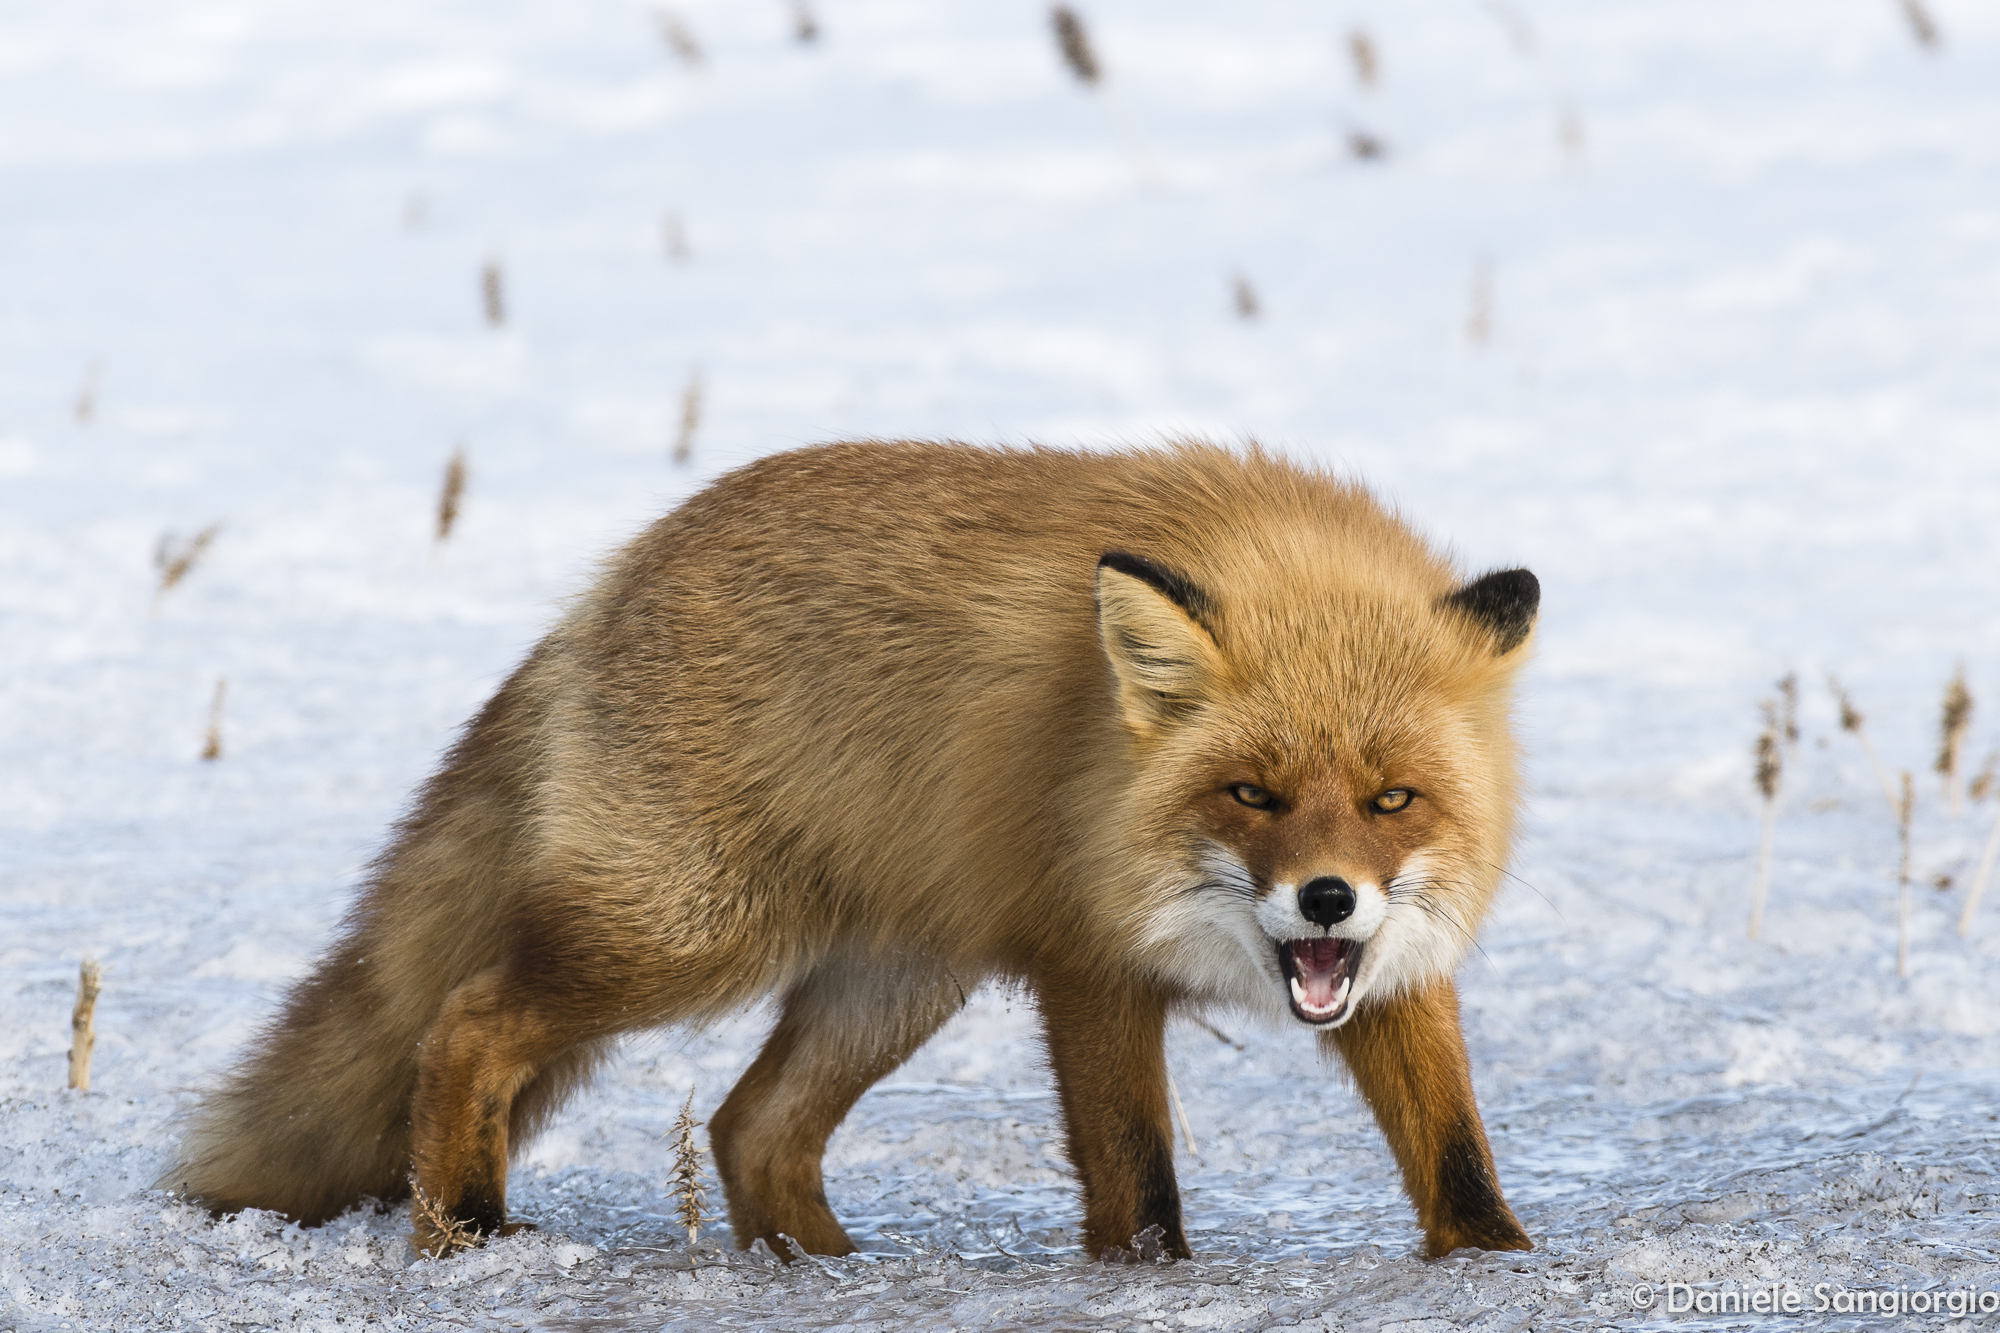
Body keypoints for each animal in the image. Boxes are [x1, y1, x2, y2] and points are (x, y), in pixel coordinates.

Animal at [160, 439, 1540, 1263]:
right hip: (685, 936)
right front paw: (1144, 1279)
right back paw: (464, 1228)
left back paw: (815, 1266)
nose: (1326, 899)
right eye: (1251, 793)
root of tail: (612, 577)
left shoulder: (1396, 968)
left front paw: (1492, 1265)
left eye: (1393, 800)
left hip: (892, 982)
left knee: (748, 1128)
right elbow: (1139, 1189)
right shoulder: (1087, 958)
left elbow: (1456, 1156)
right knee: (465, 1023)